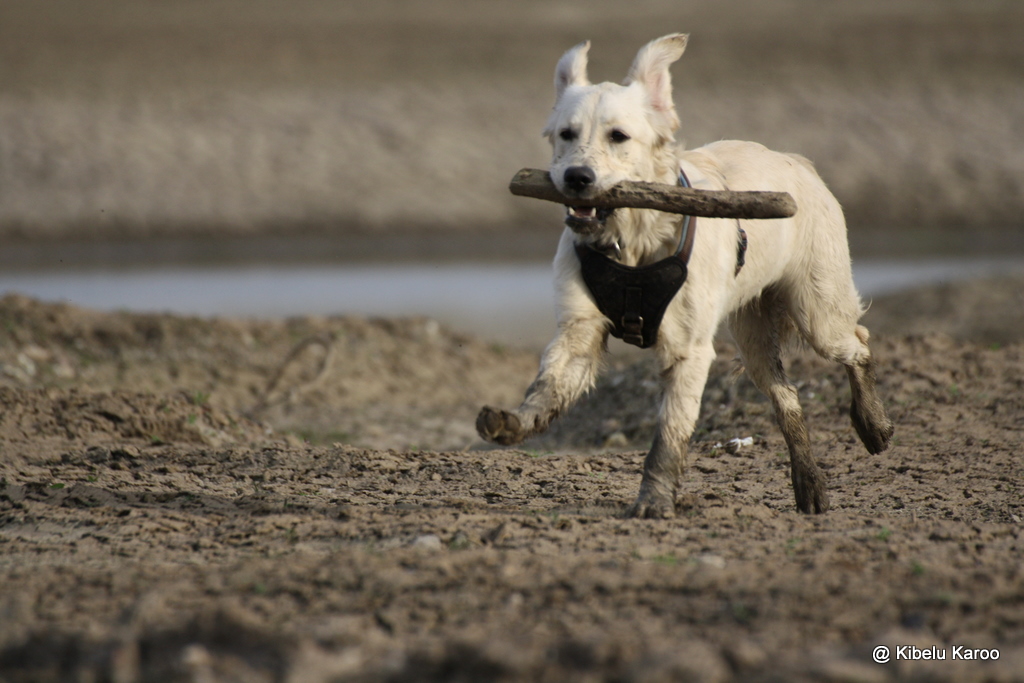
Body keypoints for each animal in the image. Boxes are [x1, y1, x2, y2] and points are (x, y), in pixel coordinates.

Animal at [475, 33, 892, 518]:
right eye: (566, 134)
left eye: (618, 136)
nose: (577, 177)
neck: (632, 241)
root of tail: (797, 162)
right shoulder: (579, 330)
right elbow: (546, 386)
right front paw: (513, 421)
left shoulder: (688, 349)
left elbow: (668, 437)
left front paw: (654, 501)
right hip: (753, 339)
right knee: (788, 399)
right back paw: (808, 482)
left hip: (817, 312)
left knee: (859, 342)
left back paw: (873, 424)